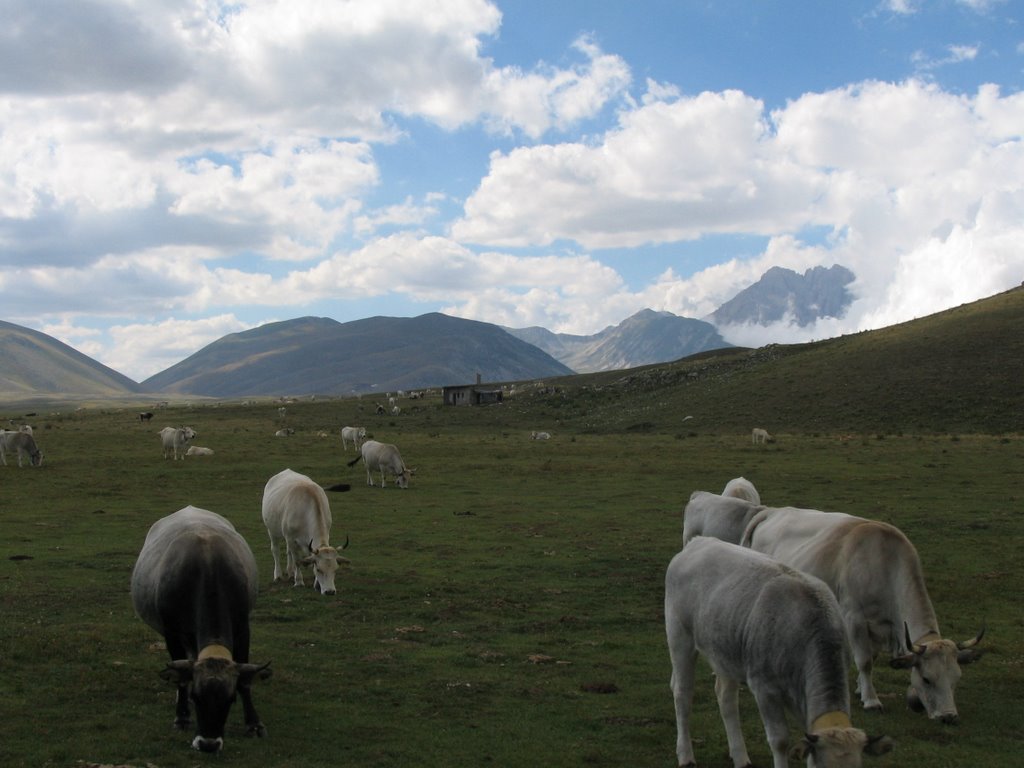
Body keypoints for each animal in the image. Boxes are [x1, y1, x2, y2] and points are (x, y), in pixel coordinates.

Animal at [129, 507, 272, 753]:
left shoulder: (243, 629)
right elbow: (182, 677)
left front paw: (253, 724)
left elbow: (245, 681)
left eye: (230, 699)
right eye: (197, 698)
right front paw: (182, 716)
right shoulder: (171, 633)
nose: (208, 744)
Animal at [663, 536, 888, 768]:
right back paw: (686, 754)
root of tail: (698, 542)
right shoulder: (764, 688)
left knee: (726, 698)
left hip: (725, 653)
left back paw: (740, 756)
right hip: (679, 636)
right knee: (682, 693)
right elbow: (779, 741)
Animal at [741, 505, 987, 720]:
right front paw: (871, 700)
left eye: (955, 679)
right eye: (927, 679)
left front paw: (861, 689)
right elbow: (864, 660)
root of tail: (771, 512)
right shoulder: (855, 619)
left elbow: (872, 657)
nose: (948, 717)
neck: (885, 561)